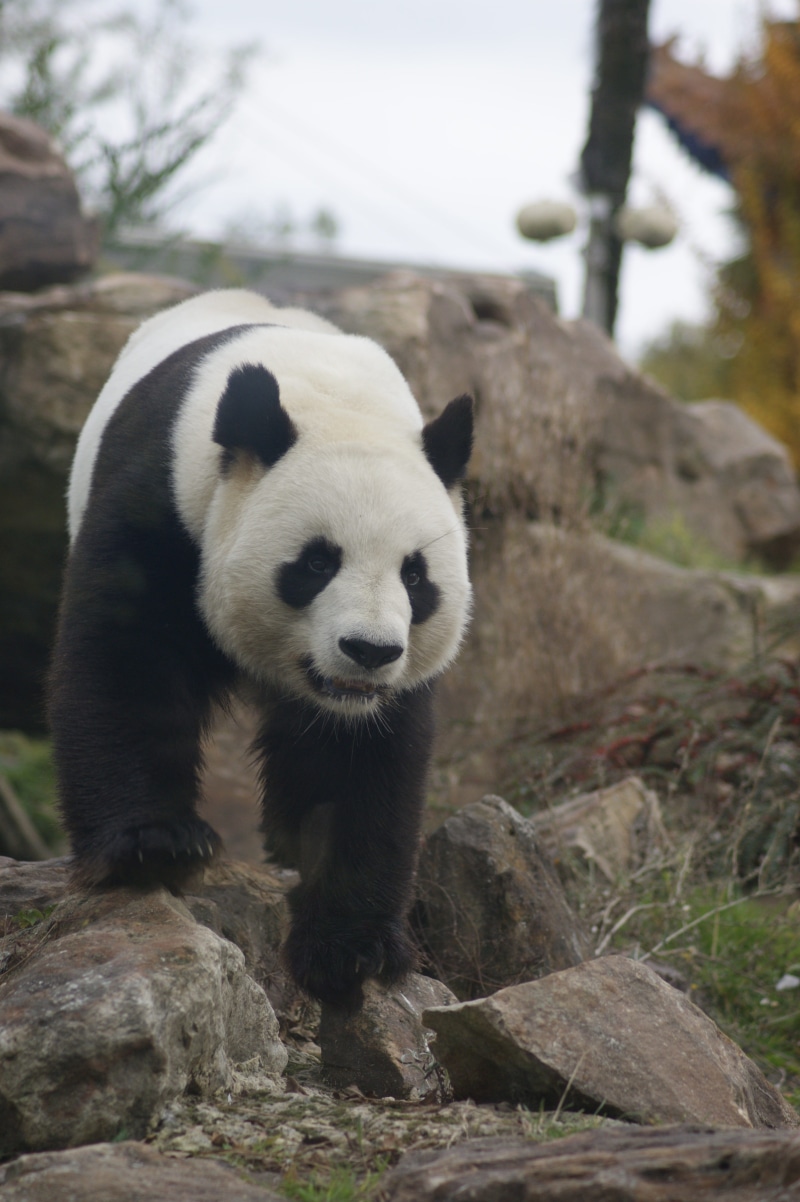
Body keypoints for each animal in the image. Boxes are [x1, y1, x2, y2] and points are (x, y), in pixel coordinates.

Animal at [49, 288, 473, 1007]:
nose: (368, 650)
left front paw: (350, 948)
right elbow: (126, 659)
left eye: (415, 576)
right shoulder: (163, 499)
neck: (329, 395)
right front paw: (153, 844)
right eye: (317, 562)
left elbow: (358, 760)